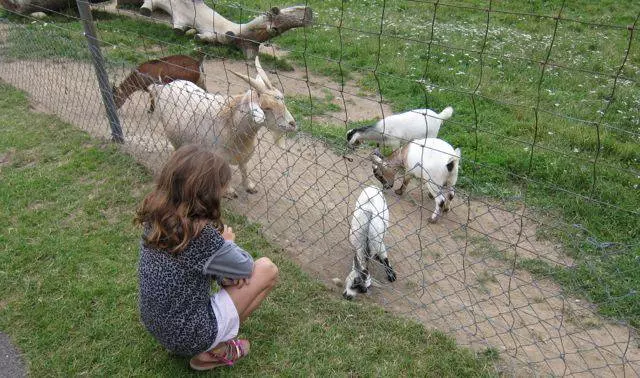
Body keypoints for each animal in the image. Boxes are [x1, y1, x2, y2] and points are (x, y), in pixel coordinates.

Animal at [152, 56, 298, 198]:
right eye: (266, 107)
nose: (292, 124)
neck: (231, 123)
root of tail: (166, 85)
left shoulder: (242, 154)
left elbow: (244, 168)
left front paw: (249, 186)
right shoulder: (220, 156)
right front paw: (229, 191)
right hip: (173, 135)